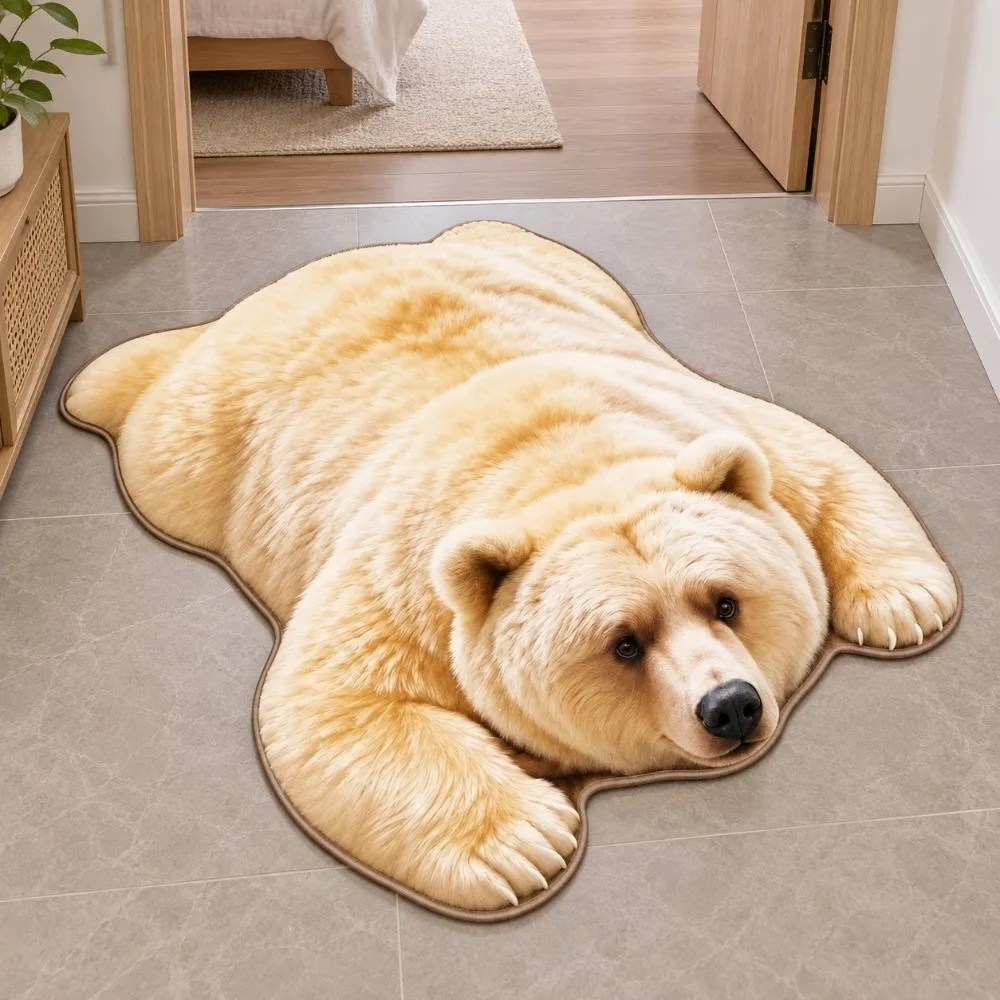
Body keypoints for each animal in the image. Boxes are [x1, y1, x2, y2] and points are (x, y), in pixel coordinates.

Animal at [64, 221, 958, 911]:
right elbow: (338, 698)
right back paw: (91, 383)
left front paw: (903, 603)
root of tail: (293, 279)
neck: (560, 461)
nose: (731, 706)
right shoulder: (407, 577)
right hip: (204, 445)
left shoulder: (698, 414)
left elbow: (816, 461)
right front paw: (526, 838)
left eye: (726, 600)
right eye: (624, 642)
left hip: (557, 266)